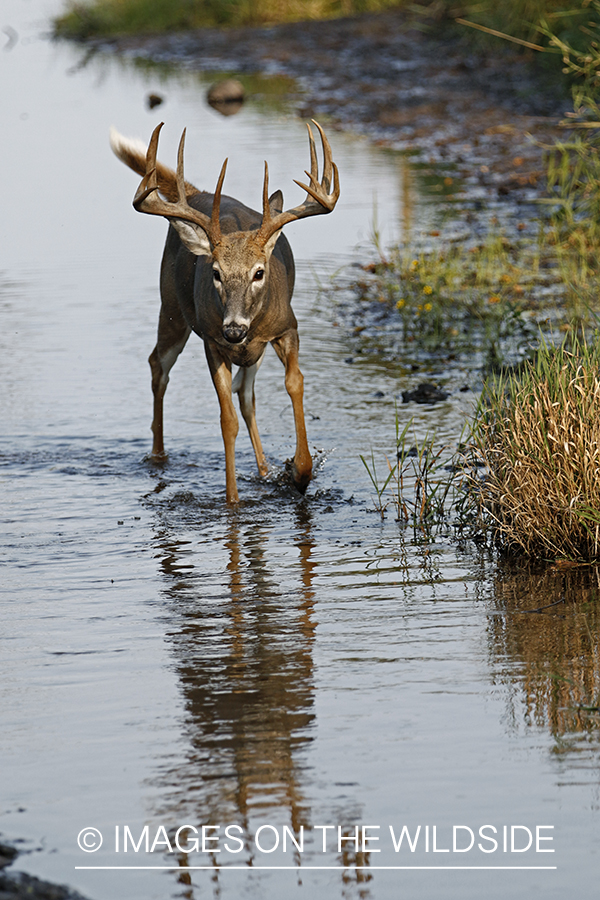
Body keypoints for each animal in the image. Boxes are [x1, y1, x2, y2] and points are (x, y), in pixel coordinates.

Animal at [110, 119, 340, 502]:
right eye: (216, 273)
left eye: (259, 272)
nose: (234, 329)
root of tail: (198, 193)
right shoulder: (211, 340)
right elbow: (226, 419)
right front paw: (232, 502)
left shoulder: (287, 327)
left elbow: (294, 383)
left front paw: (300, 471)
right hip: (171, 307)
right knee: (159, 365)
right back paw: (158, 456)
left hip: (249, 350)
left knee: (246, 395)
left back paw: (263, 470)